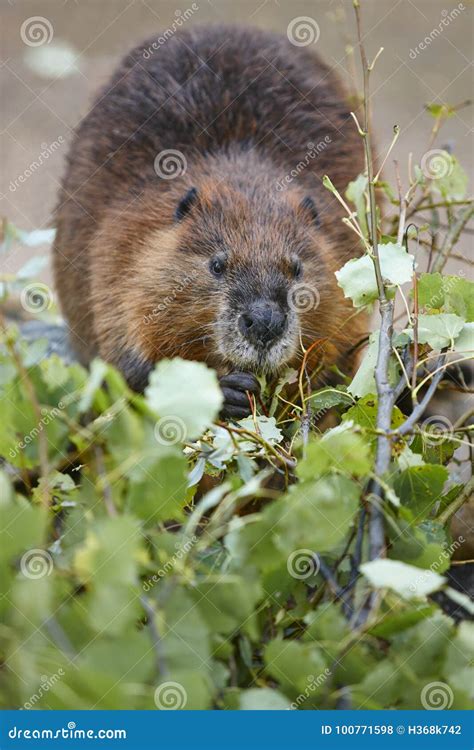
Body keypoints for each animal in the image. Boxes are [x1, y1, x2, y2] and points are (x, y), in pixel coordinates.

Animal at [52, 23, 362, 420]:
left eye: (297, 268)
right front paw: (228, 391)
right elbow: (126, 358)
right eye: (216, 264)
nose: (265, 323)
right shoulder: (119, 239)